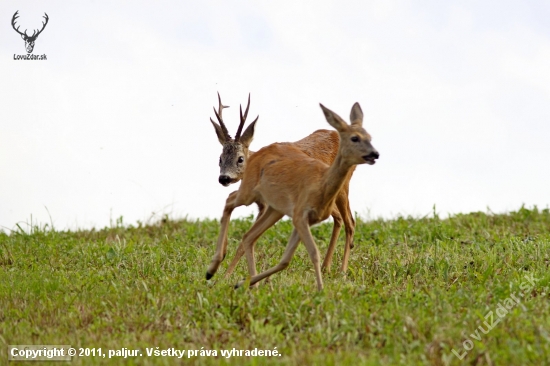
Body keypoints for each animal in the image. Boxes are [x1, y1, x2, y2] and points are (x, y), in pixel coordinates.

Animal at [220, 101, 380, 290]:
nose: (224, 178)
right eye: (220, 159)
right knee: (339, 218)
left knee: (350, 221)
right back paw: (326, 267)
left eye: (240, 159)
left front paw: (228, 275)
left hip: (343, 188)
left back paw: (341, 271)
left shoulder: (269, 204)